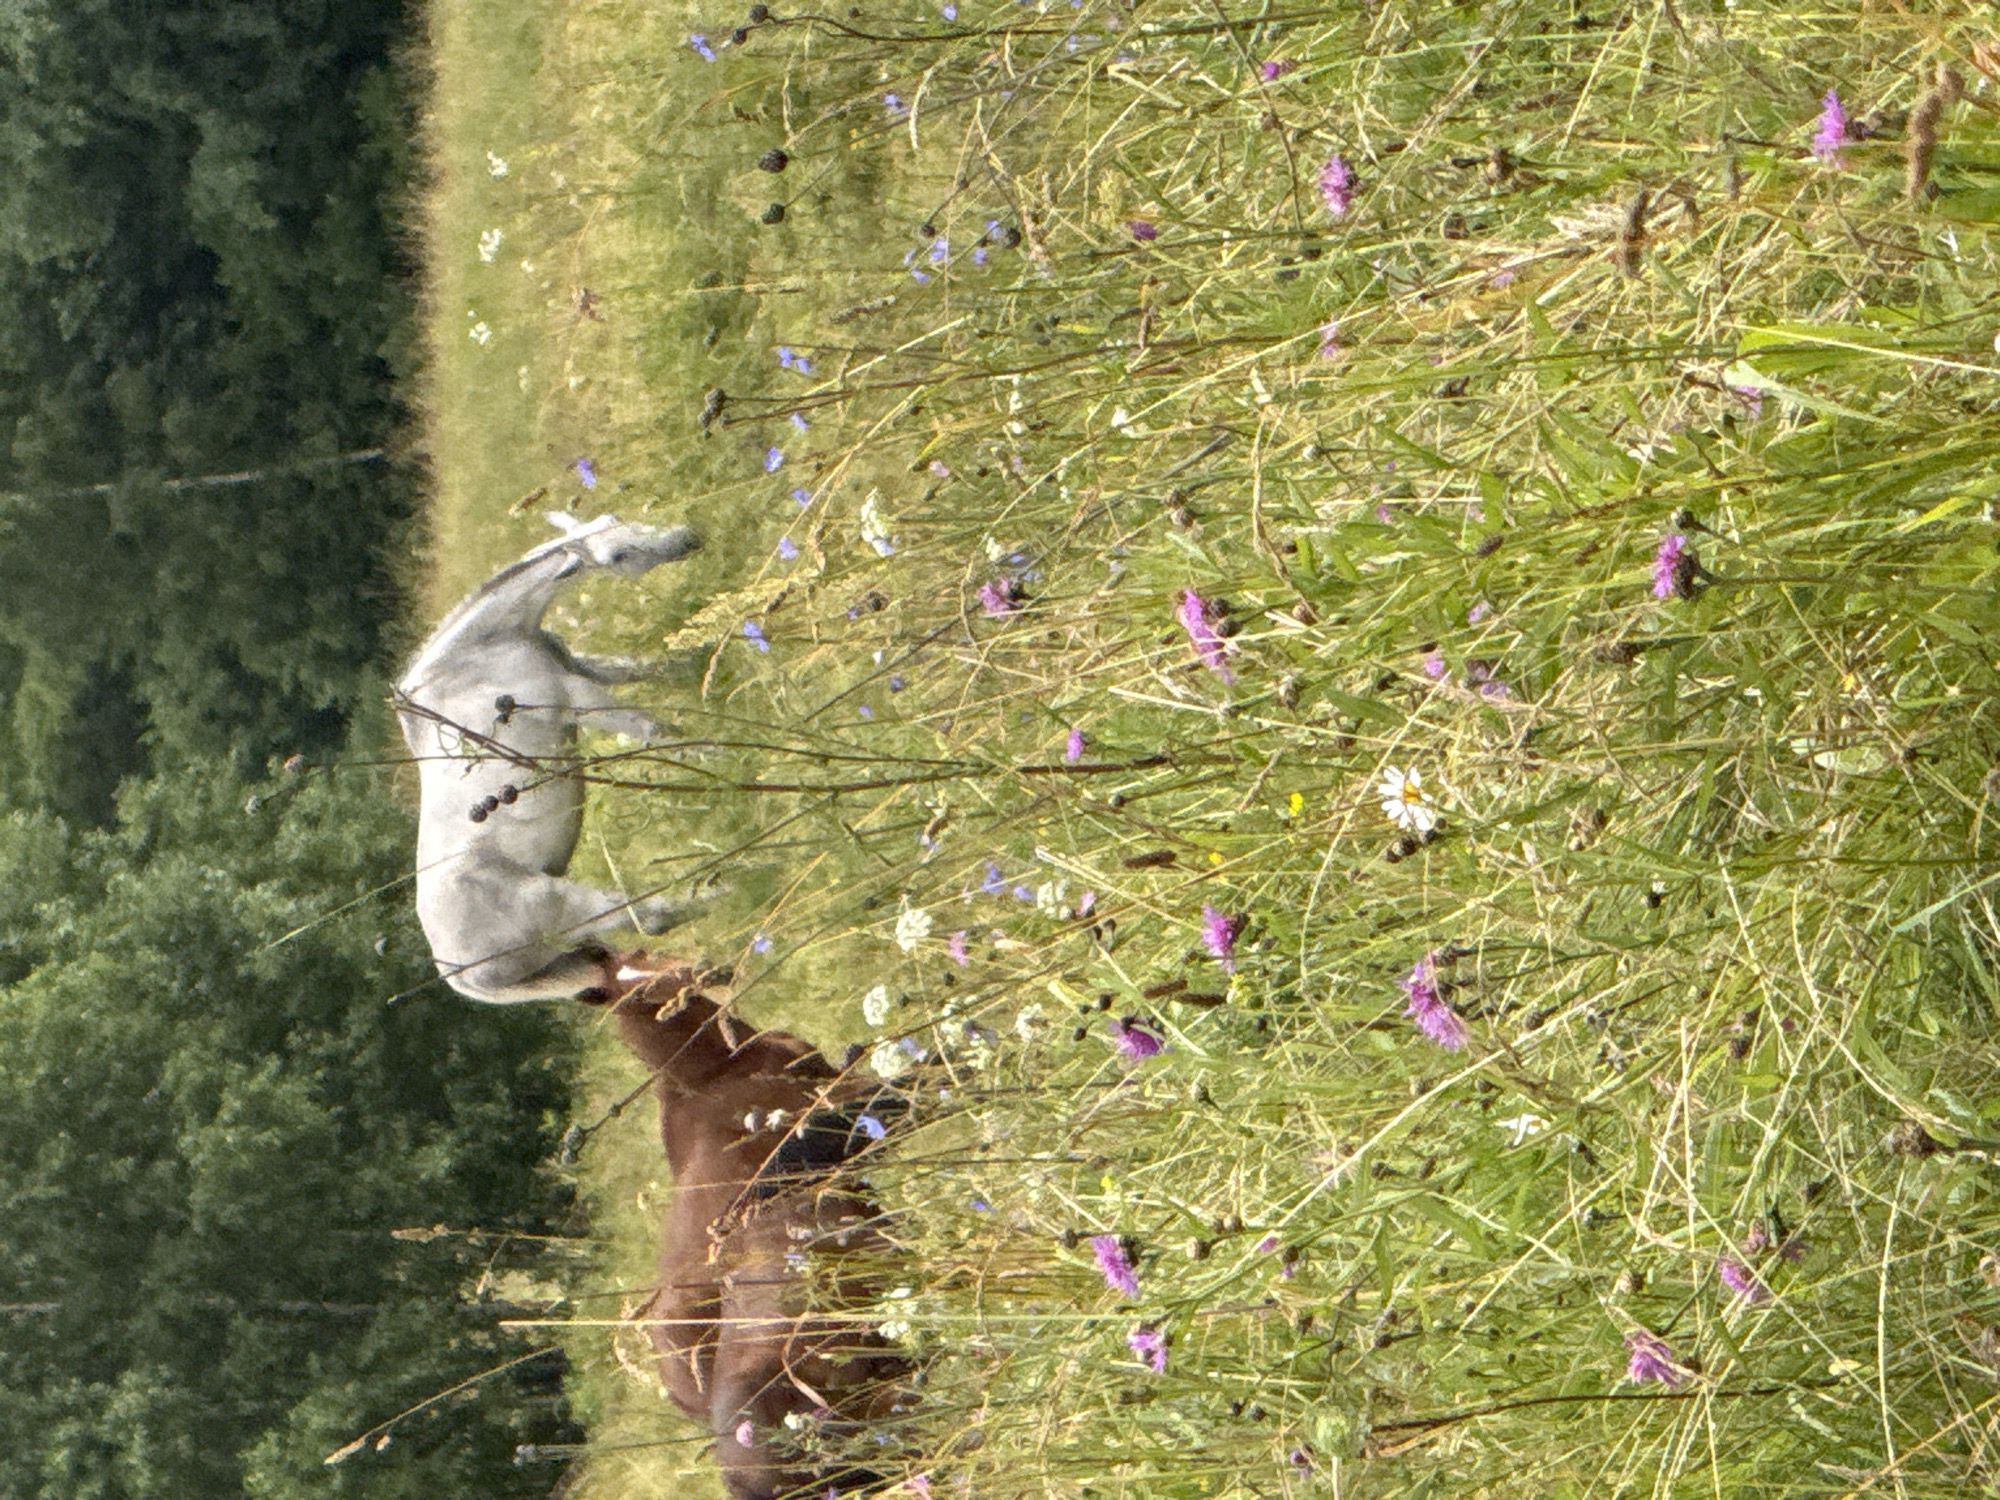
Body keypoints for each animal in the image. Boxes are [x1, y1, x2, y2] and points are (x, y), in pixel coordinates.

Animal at [396, 512, 705, 1003]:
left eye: (618, 519)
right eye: (617, 556)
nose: (685, 539)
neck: (474, 656)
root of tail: (460, 975)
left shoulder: (583, 668)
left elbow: (654, 668)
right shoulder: (576, 697)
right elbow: (653, 729)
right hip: (566, 904)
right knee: (648, 915)